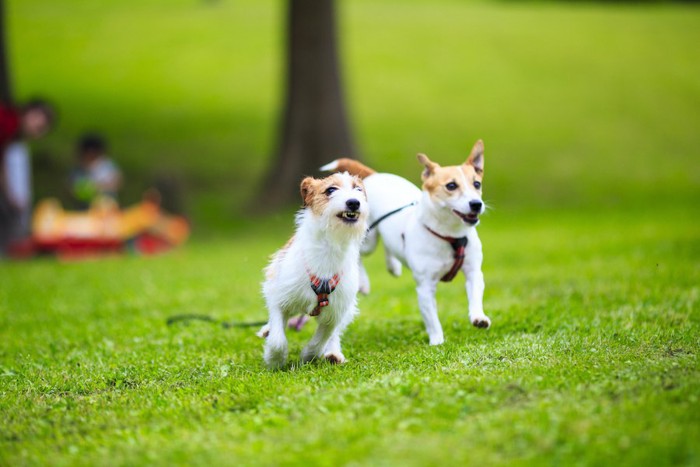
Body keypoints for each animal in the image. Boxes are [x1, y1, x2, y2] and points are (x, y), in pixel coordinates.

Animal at [260, 172, 370, 370]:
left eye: (358, 189)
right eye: (331, 190)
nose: (354, 202)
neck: (330, 247)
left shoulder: (337, 310)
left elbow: (322, 337)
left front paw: (308, 356)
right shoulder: (279, 296)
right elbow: (278, 337)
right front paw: (275, 359)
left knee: (333, 335)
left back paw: (333, 353)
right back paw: (267, 330)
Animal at [322, 141, 490, 346]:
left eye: (477, 184)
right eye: (451, 186)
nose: (476, 204)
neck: (450, 235)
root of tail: (375, 176)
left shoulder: (474, 271)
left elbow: (475, 294)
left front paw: (478, 317)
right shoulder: (425, 286)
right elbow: (432, 319)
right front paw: (437, 342)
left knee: (389, 245)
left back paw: (393, 266)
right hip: (368, 238)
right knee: (359, 253)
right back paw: (364, 282)